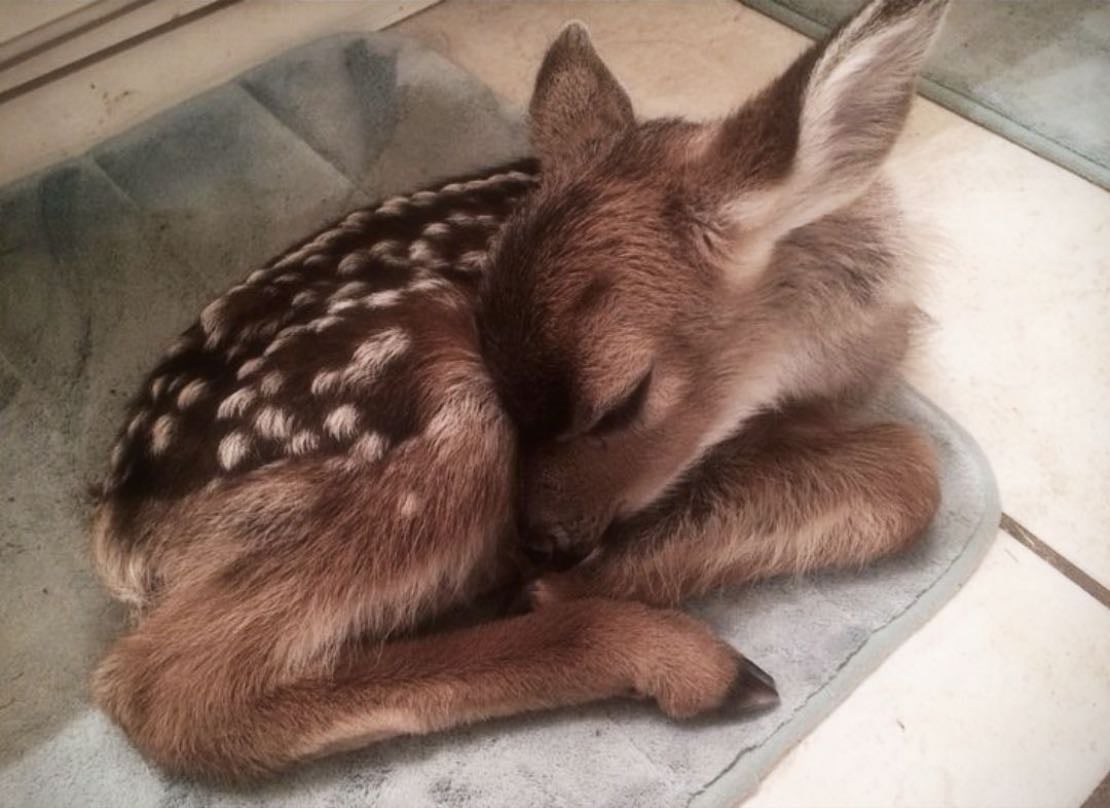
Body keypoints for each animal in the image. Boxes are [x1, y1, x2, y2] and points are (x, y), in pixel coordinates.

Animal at [89, 0, 948, 781]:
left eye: (621, 403)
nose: (542, 542)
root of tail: (122, 525)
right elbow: (915, 469)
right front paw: (571, 583)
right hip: (432, 422)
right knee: (169, 692)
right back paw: (683, 661)